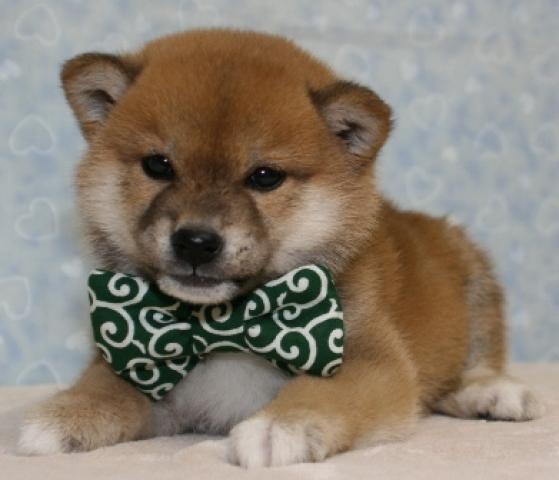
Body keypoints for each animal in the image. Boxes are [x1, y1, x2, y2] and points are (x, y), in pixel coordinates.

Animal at [19, 30, 543, 467]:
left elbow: (326, 395)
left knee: (477, 364)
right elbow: (105, 386)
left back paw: (493, 395)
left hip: (475, 283)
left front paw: (279, 426)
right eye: (158, 165)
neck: (222, 326)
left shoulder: (371, 361)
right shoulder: (145, 369)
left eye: (265, 177)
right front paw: (65, 413)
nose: (195, 241)